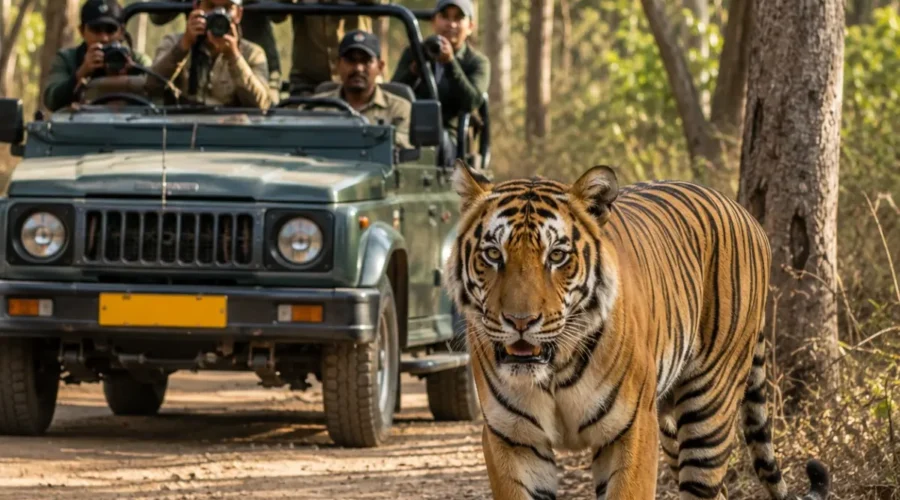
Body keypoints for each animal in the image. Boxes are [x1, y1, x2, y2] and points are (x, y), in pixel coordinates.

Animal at [443, 162, 831, 500]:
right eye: (493, 254)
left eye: (556, 256)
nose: (520, 321)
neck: (553, 370)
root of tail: (748, 215)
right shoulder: (513, 438)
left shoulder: (632, 431)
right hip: (671, 424)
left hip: (710, 409)